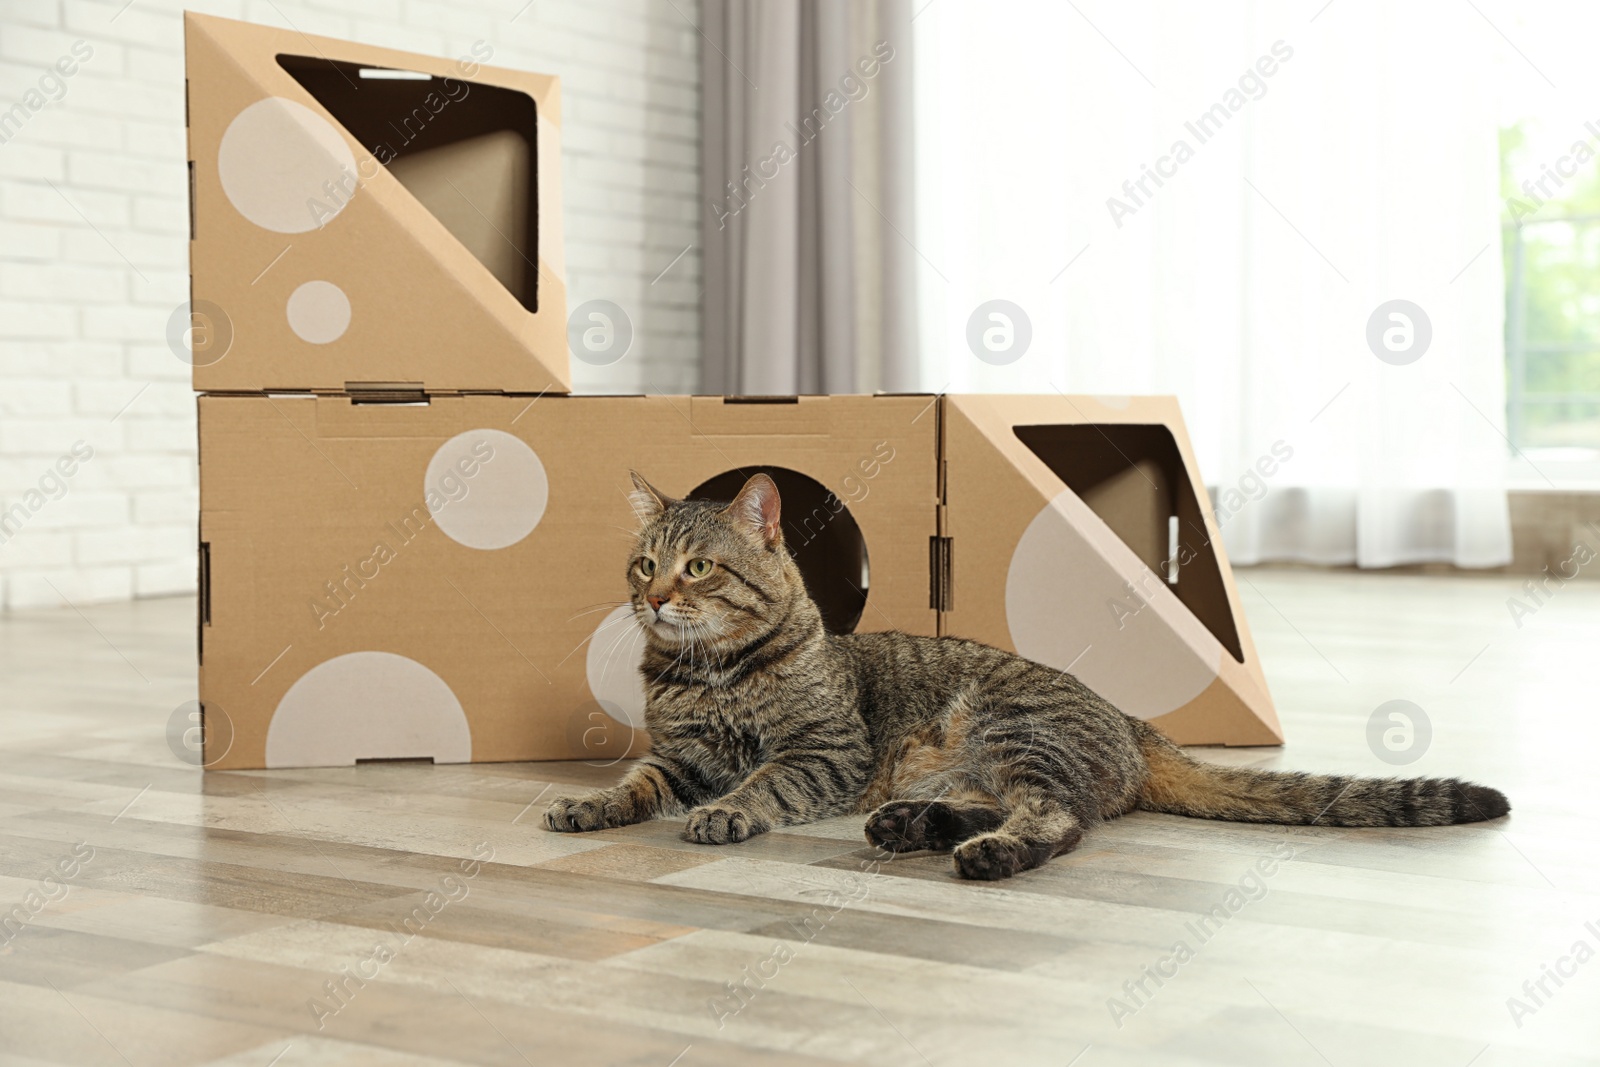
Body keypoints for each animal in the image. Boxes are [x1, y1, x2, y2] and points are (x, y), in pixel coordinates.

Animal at [544, 470, 1504, 883]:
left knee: (1058, 818)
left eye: (700, 568)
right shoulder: (680, 755)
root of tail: (1131, 720)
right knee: (1024, 805)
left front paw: (726, 812)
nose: (655, 597)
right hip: (976, 761)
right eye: (645, 565)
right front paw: (587, 803)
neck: (709, 673)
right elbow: (635, 781)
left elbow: (762, 782)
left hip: (1012, 730)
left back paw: (984, 852)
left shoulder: (823, 752)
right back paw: (913, 826)